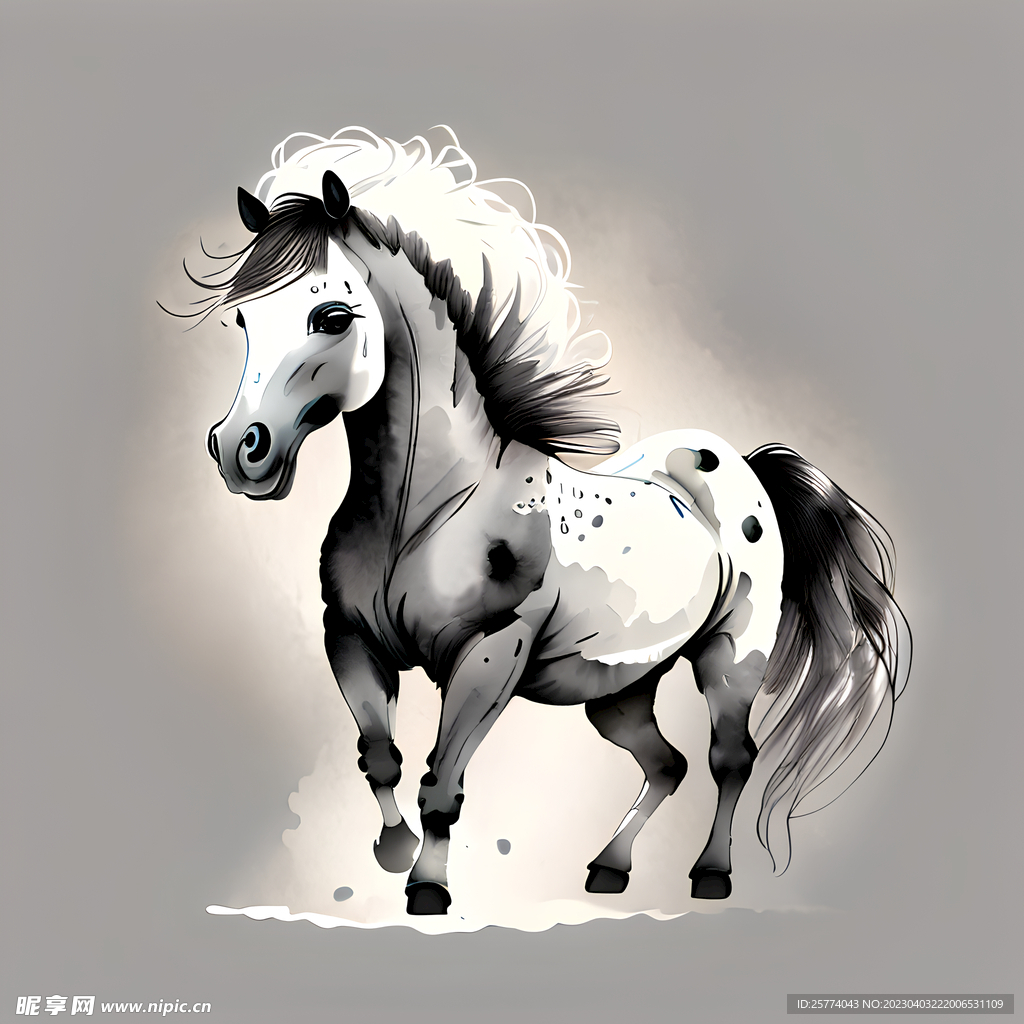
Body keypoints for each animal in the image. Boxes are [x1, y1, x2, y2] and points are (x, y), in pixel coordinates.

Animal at [178, 127, 910, 916]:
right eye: (242, 318)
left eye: (332, 317)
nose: (240, 450)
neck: (423, 513)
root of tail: (736, 463)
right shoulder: (349, 640)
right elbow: (381, 758)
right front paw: (393, 850)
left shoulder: (489, 653)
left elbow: (442, 781)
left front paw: (428, 888)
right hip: (618, 687)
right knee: (668, 764)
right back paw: (607, 869)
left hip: (729, 657)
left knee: (728, 759)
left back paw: (710, 874)